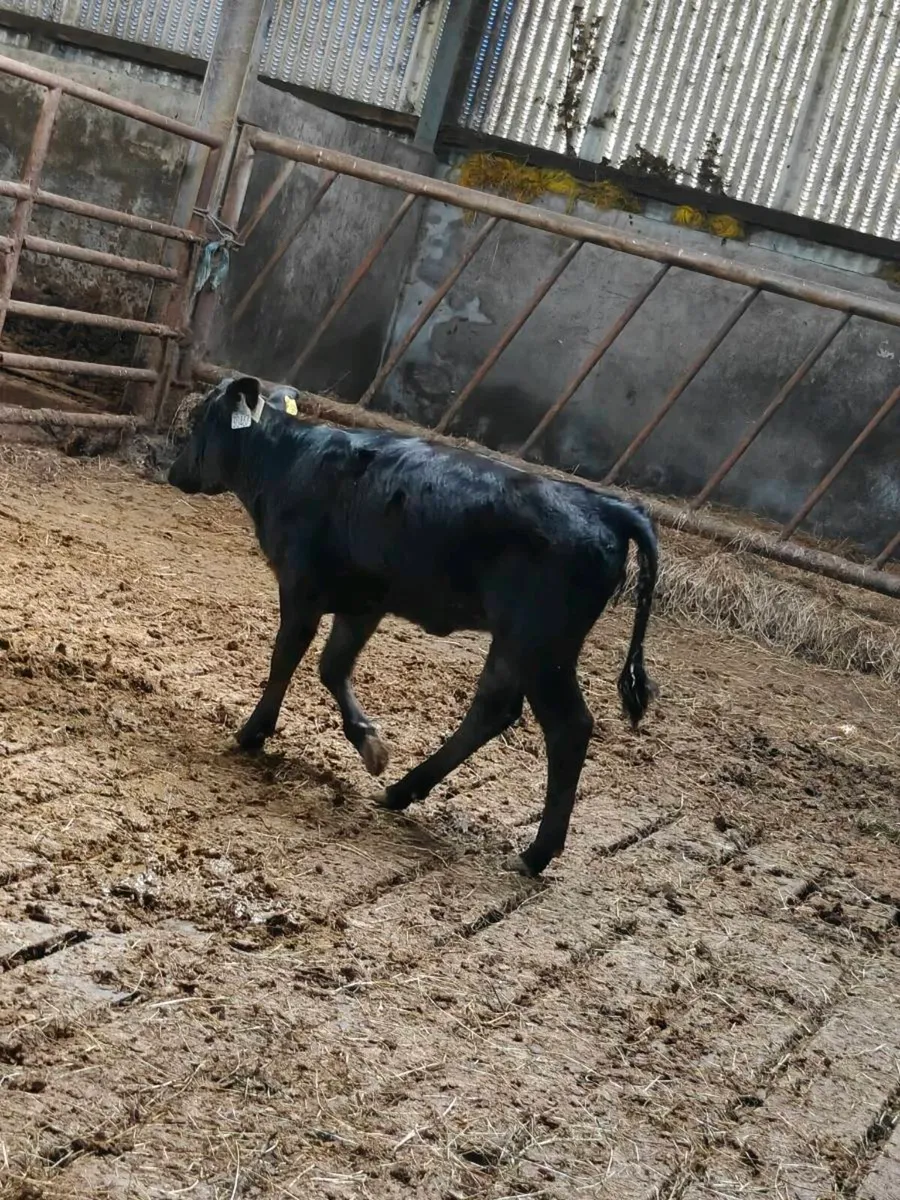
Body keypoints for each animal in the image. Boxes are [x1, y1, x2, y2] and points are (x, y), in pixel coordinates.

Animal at [167, 375, 659, 876]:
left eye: (202, 417)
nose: (173, 472)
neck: (288, 460)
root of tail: (607, 505)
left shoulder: (301, 584)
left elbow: (285, 657)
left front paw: (253, 732)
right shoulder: (364, 599)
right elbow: (332, 666)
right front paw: (369, 743)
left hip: (542, 645)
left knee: (568, 727)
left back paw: (536, 853)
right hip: (515, 641)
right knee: (493, 708)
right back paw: (403, 790)